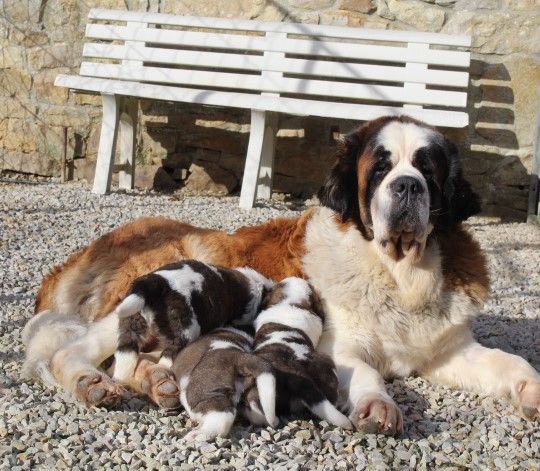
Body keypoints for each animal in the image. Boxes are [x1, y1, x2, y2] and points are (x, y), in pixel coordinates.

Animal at [111, 260, 272, 386]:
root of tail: (158, 282)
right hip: (186, 331)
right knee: (167, 359)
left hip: (131, 323)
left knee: (125, 355)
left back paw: (121, 382)